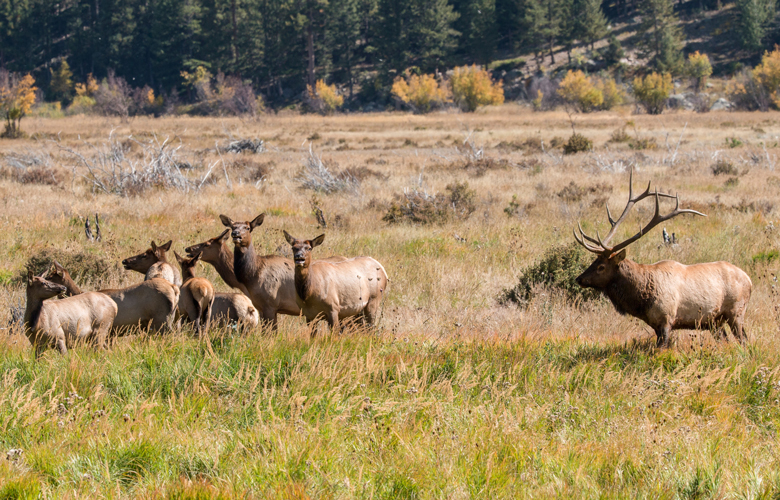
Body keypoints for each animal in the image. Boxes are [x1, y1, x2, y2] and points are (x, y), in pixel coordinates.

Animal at [573, 169, 752, 348]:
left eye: (601, 266)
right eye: (594, 261)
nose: (579, 279)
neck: (642, 299)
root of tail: (749, 280)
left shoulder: (666, 319)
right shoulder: (656, 324)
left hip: (736, 312)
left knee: (744, 340)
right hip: (715, 322)